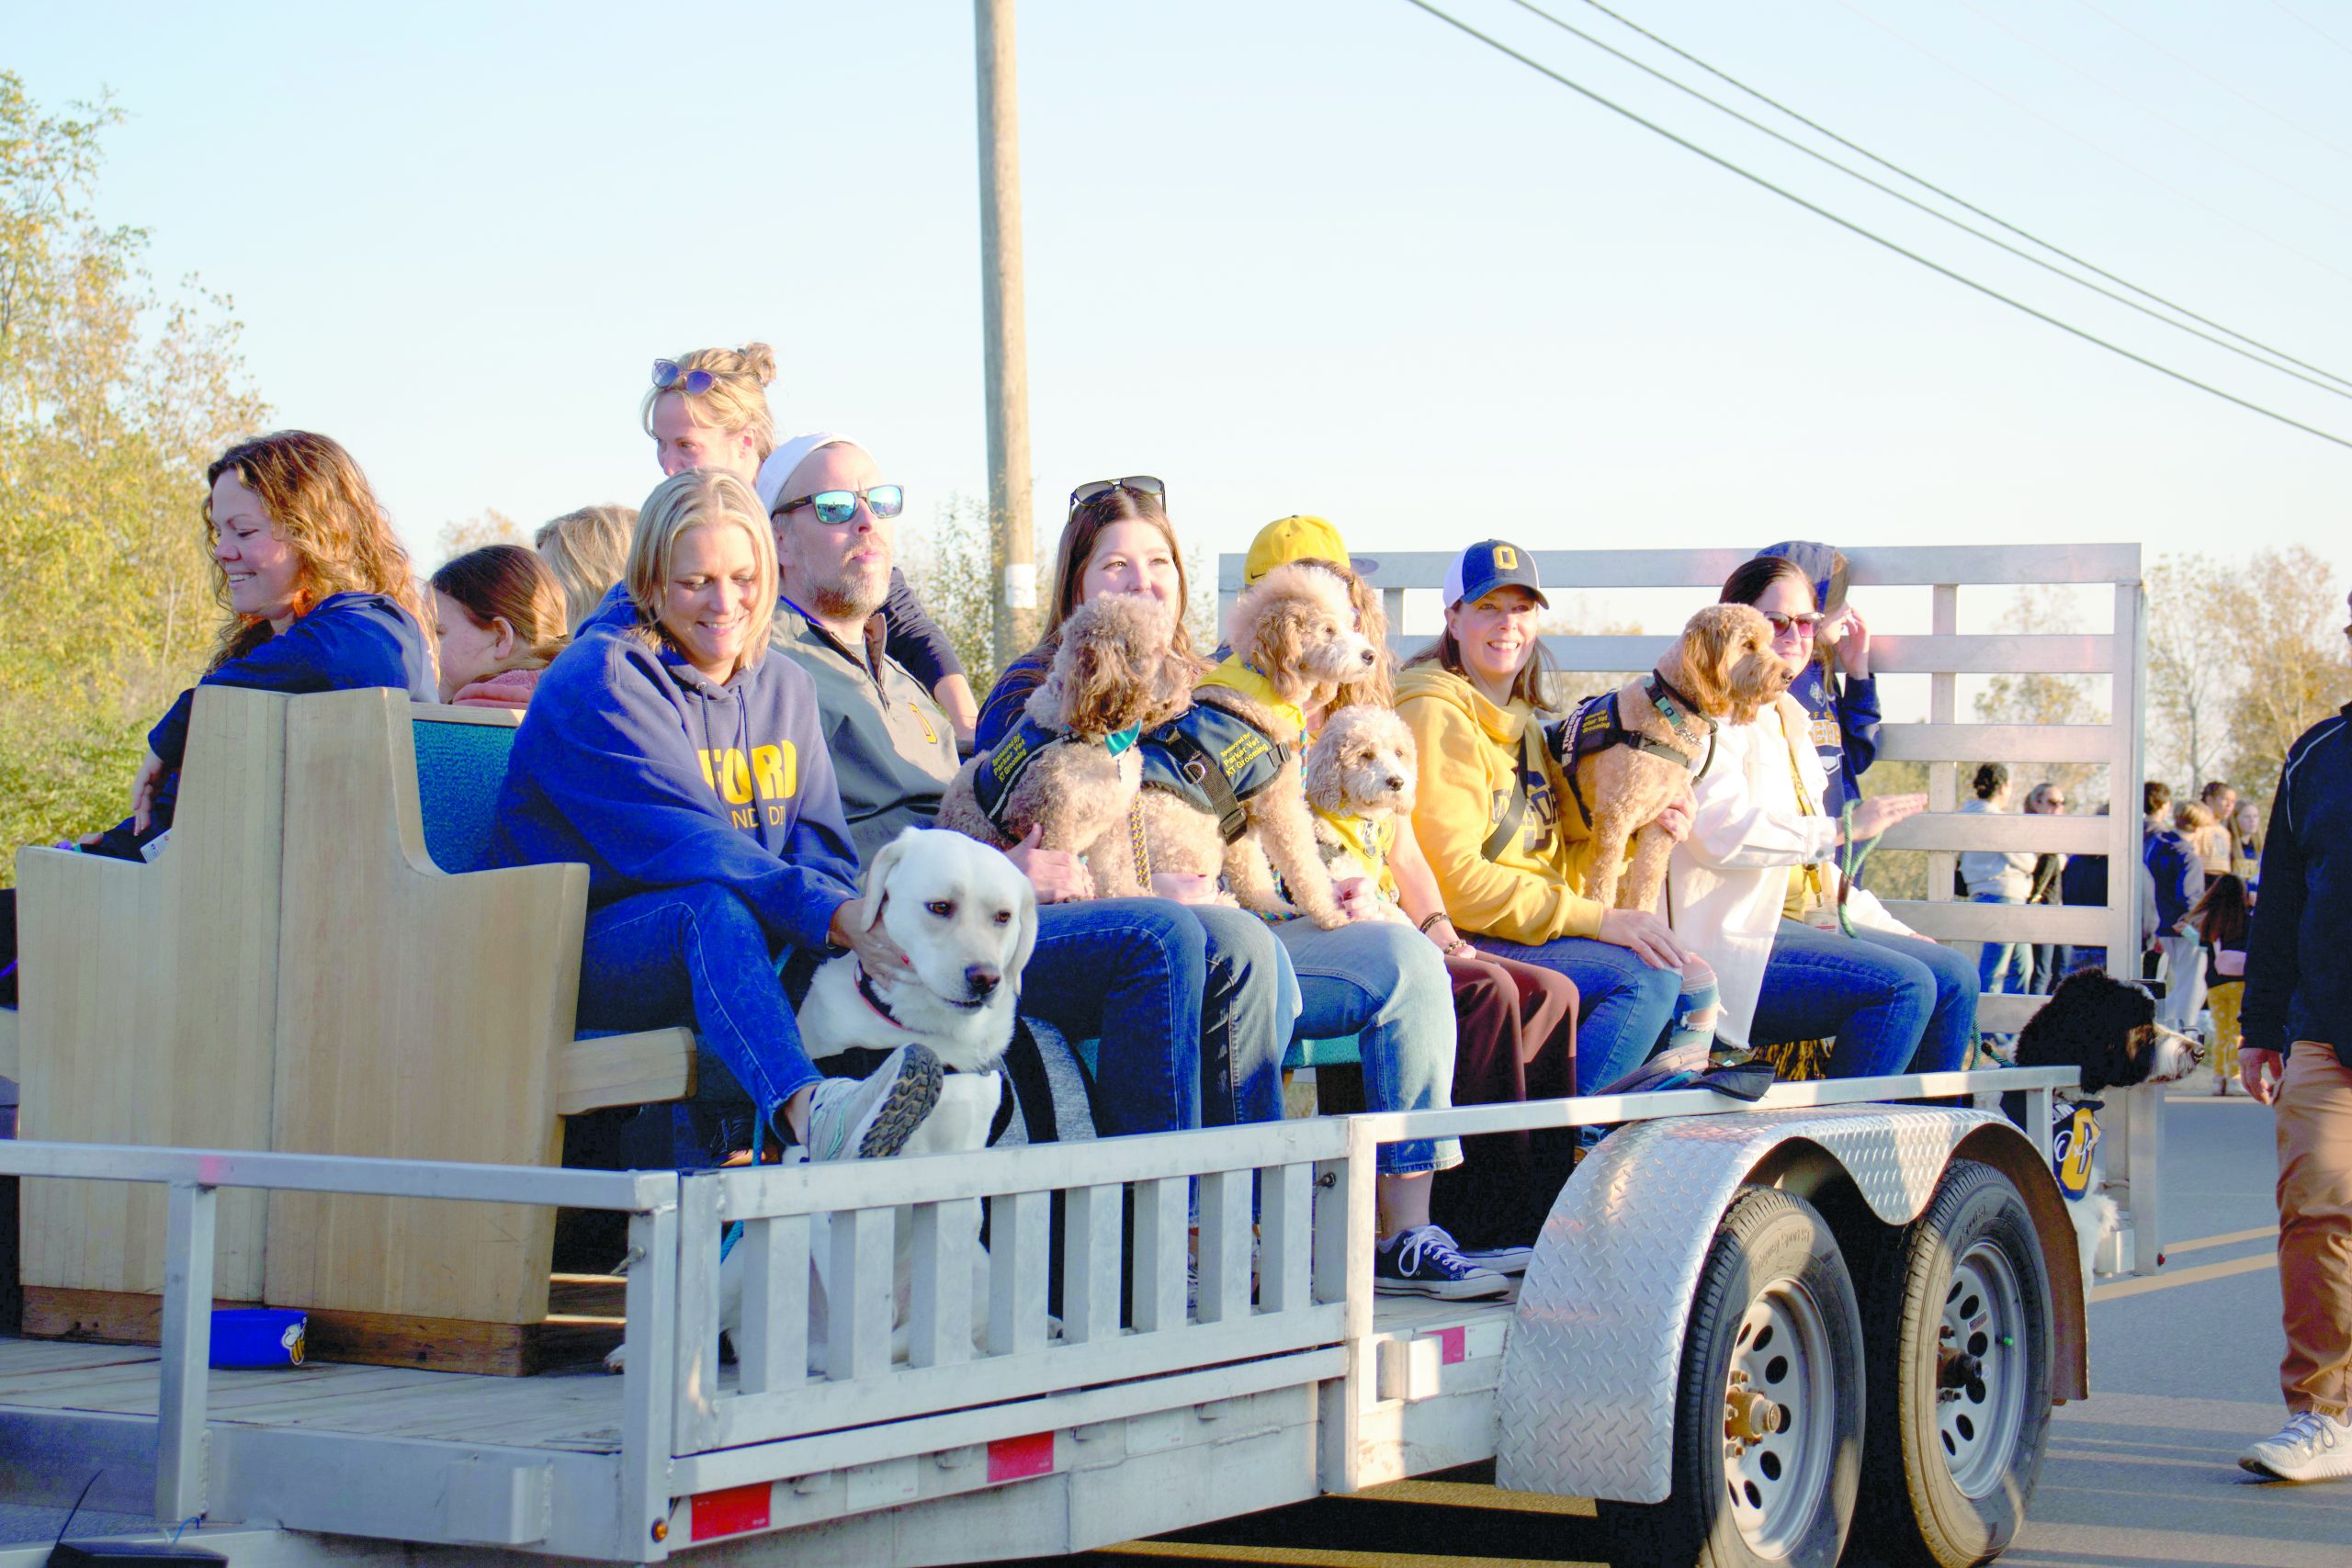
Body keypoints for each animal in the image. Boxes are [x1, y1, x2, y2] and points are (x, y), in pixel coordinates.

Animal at [935, 597, 1194, 869]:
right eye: (1156, 650)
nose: (1188, 669)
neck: (1088, 737)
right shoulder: (1052, 824)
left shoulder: (1110, 828)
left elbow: (1118, 871)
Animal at [1119, 564, 1374, 926]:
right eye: (1327, 630)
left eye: (1351, 625)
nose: (1370, 655)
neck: (1261, 682)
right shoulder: (1279, 806)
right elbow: (1304, 865)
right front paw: (1330, 912)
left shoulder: (1240, 815)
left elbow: (1252, 872)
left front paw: (1272, 906)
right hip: (1190, 845)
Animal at [1561, 606, 1778, 921]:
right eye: (1748, 644)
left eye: (1769, 642)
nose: (1788, 674)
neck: (1668, 711)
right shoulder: (1615, 814)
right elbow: (1603, 878)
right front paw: (1603, 912)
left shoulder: (1661, 823)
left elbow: (1648, 879)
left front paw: (1643, 916)